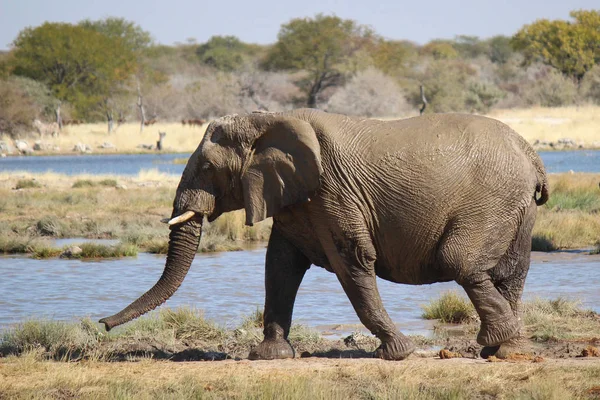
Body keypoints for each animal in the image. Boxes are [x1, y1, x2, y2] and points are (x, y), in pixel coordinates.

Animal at [101, 108, 552, 360]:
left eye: (209, 168)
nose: (102, 324)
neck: (265, 120)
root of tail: (531, 153)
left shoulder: (332, 191)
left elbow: (353, 261)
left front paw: (398, 354)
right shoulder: (295, 197)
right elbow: (280, 268)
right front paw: (270, 356)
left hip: (493, 199)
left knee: (461, 262)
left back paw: (500, 343)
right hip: (515, 206)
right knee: (510, 272)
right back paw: (505, 350)